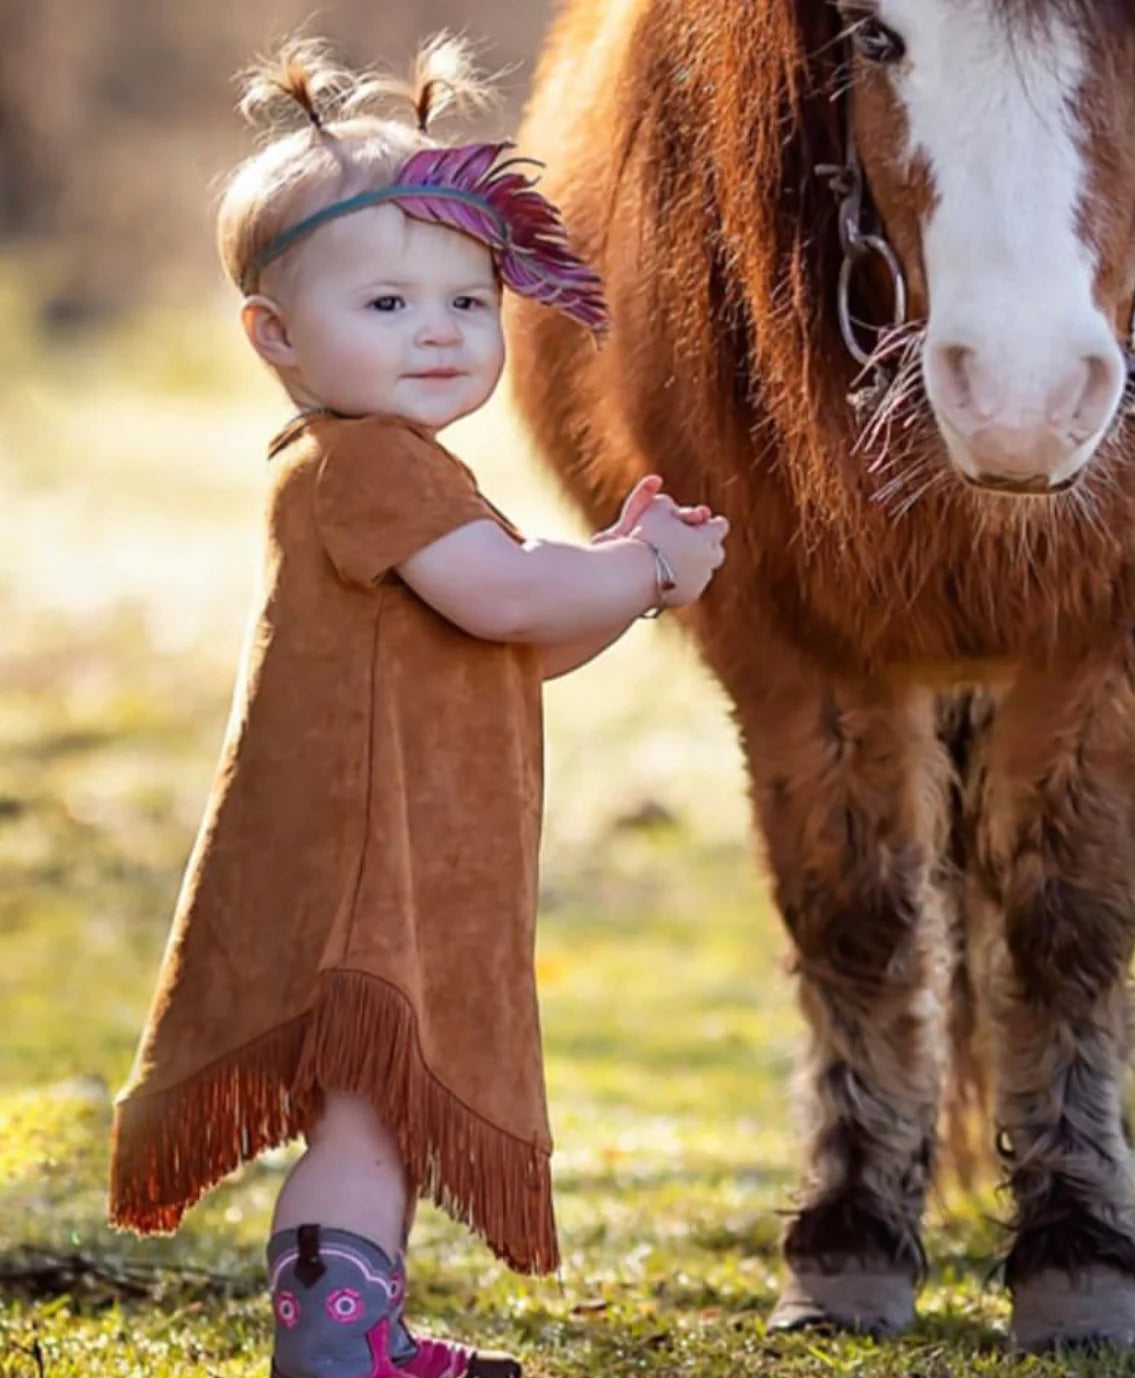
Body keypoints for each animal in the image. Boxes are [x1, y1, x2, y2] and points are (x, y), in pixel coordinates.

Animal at [509, 0, 1135, 1350]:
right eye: (875, 37)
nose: (1022, 397)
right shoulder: (797, 642)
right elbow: (858, 916)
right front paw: (848, 1236)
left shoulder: (1097, 643)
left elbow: (1062, 922)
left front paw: (1078, 1250)